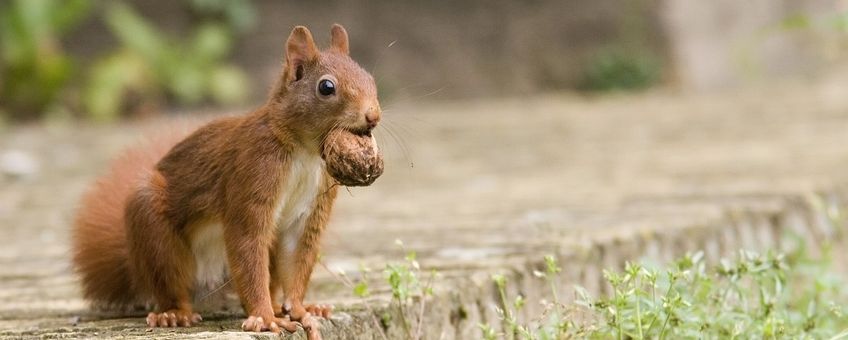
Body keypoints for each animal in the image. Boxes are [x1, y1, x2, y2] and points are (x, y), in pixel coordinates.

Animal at [73, 25, 380, 336]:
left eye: (370, 77)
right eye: (326, 87)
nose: (373, 115)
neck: (304, 152)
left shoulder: (311, 206)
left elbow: (297, 256)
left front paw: (299, 309)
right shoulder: (251, 173)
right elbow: (247, 242)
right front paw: (265, 318)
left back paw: (288, 305)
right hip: (155, 232)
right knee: (169, 281)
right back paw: (174, 314)